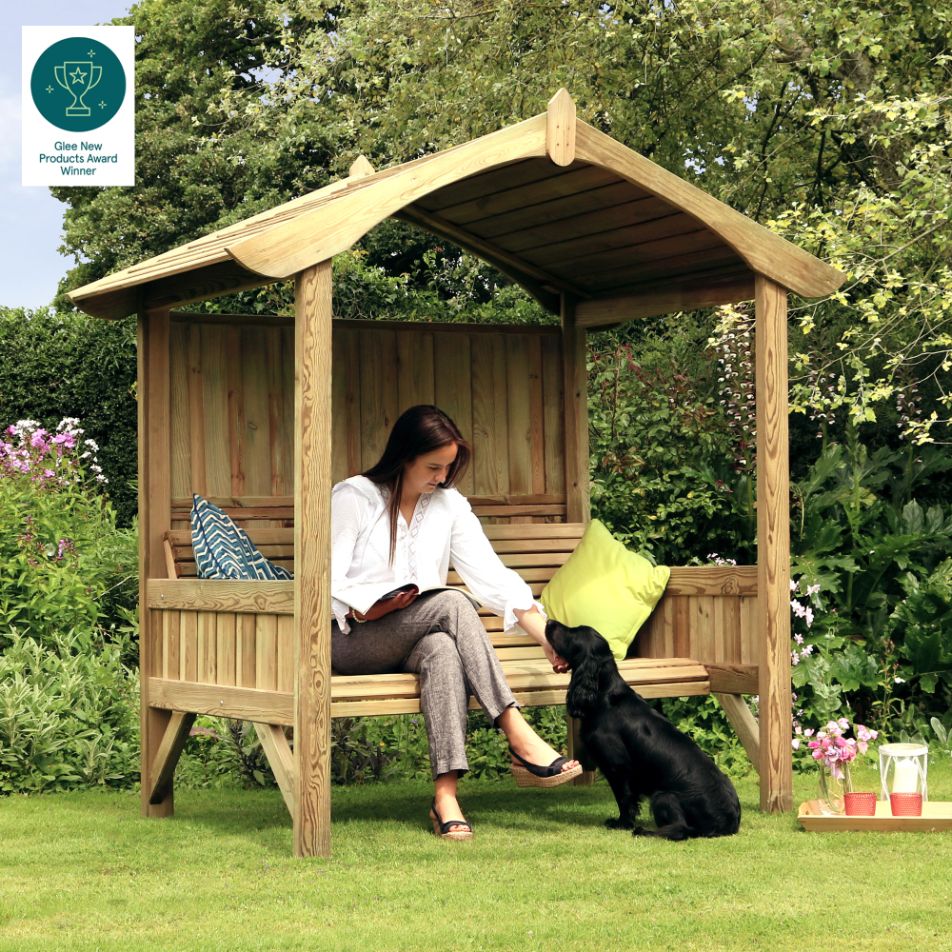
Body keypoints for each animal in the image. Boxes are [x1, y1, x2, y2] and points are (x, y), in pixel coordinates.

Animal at [548, 620, 740, 836]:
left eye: (573, 632)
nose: (549, 622)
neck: (604, 697)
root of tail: (729, 821)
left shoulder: (618, 766)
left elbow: (624, 799)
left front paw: (622, 823)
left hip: (663, 796)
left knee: (680, 829)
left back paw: (643, 831)